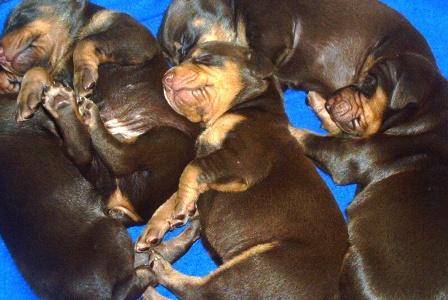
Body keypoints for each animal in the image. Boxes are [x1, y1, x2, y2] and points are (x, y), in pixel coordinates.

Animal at [0, 0, 158, 122]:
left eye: (17, 17)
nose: (0, 57)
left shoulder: (135, 34)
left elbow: (84, 42)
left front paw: (83, 74)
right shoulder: (60, 85)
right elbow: (37, 70)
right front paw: (15, 86)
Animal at [137, 42, 350, 300]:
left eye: (204, 58)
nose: (165, 78)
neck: (249, 108)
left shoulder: (242, 160)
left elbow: (191, 169)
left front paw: (183, 207)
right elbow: (173, 195)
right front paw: (155, 228)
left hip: (259, 264)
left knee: (199, 291)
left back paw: (157, 267)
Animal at [292, 52, 448, 298]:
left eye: (369, 82)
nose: (329, 102)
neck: (425, 113)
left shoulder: (345, 157)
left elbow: (310, 137)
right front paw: (318, 103)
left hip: (355, 263)